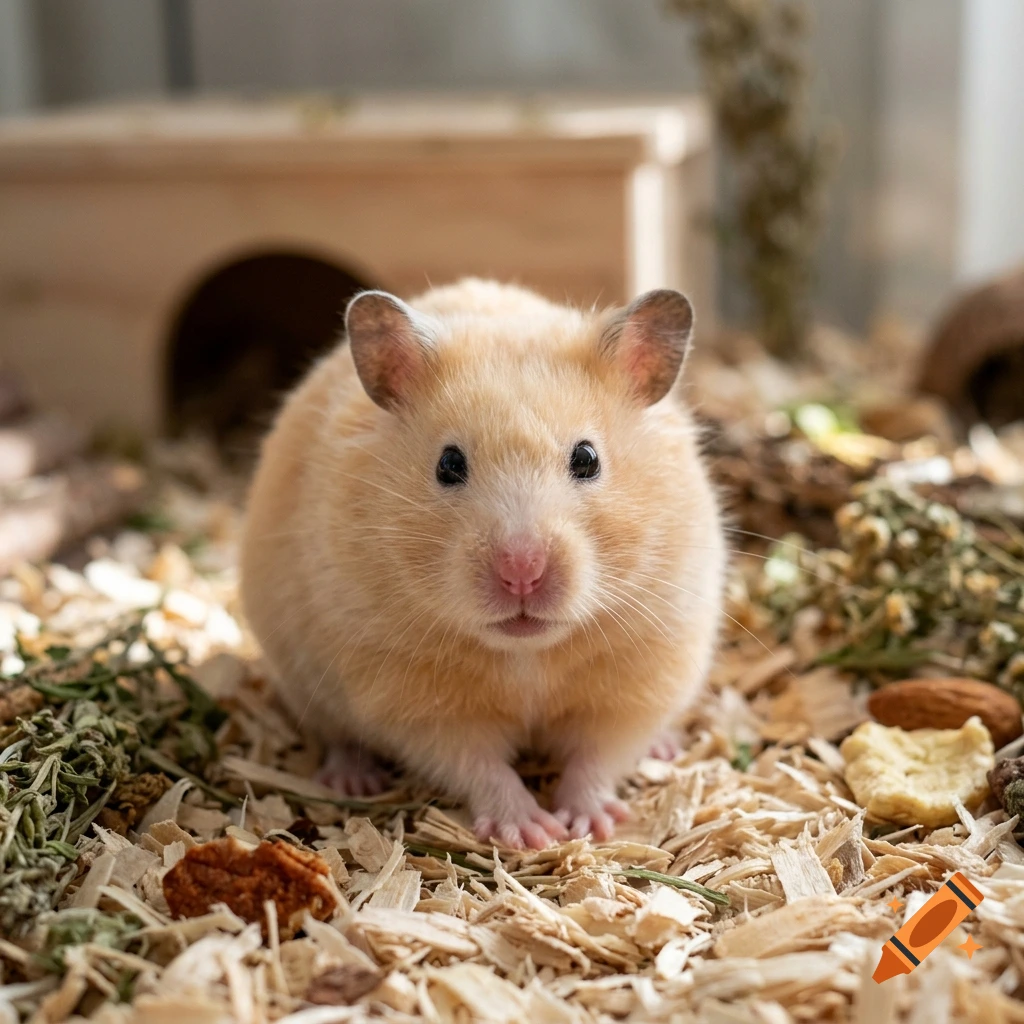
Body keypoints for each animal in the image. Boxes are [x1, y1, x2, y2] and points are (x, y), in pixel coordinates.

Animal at [240, 278, 725, 849]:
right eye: (449, 464)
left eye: (587, 459)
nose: (522, 571)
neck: (527, 654)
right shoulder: (415, 701)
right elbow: (478, 765)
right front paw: (533, 833)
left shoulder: (639, 677)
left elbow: (597, 757)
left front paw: (589, 825)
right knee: (338, 738)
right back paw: (352, 779)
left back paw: (664, 749)